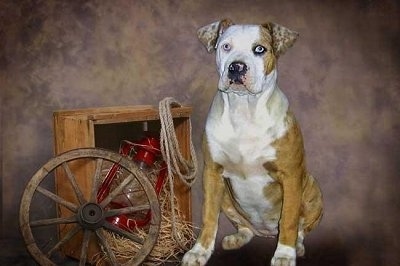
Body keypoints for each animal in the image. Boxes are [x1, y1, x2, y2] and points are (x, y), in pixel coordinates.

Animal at [183, 19, 324, 266]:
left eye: (259, 49)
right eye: (226, 46)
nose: (236, 67)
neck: (244, 111)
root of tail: (265, 233)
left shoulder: (290, 175)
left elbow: (289, 220)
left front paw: (284, 255)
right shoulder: (212, 172)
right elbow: (209, 217)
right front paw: (199, 252)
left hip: (312, 189)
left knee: (300, 228)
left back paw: (296, 245)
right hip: (226, 196)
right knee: (245, 227)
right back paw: (236, 238)